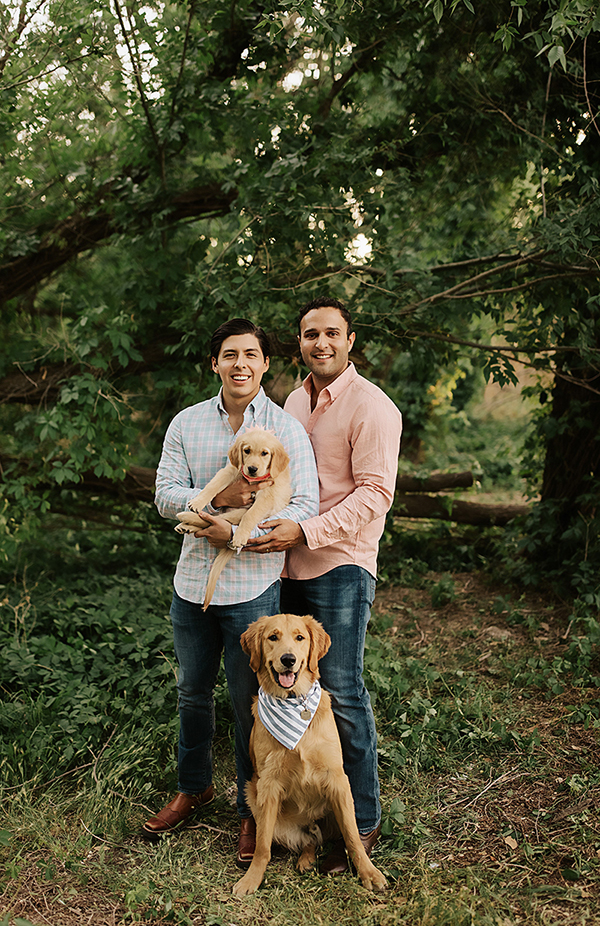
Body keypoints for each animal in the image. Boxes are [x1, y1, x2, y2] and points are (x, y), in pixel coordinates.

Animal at [173, 432, 290, 612]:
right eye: (247, 451)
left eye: (265, 453)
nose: (252, 469)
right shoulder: (230, 471)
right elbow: (212, 486)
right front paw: (198, 501)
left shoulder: (266, 497)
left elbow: (251, 515)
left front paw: (240, 537)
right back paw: (185, 523)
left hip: (238, 514)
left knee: (216, 520)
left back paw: (186, 519)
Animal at [232, 616, 386, 900]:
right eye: (273, 637)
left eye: (300, 638)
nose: (288, 659)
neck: (294, 704)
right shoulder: (268, 784)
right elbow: (262, 846)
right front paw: (251, 879)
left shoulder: (338, 780)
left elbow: (353, 838)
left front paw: (369, 873)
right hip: (253, 794)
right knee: (308, 840)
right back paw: (305, 859)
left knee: (323, 837)